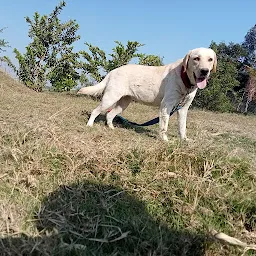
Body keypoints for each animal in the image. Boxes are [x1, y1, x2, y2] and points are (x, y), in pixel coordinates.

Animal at [77, 48, 216, 142]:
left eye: (210, 59)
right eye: (196, 58)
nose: (204, 71)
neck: (185, 78)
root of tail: (113, 71)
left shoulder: (183, 109)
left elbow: (182, 127)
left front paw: (184, 140)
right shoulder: (166, 106)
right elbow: (164, 126)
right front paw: (164, 140)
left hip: (123, 103)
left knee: (109, 115)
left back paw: (111, 128)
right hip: (110, 98)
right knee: (95, 111)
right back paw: (89, 125)